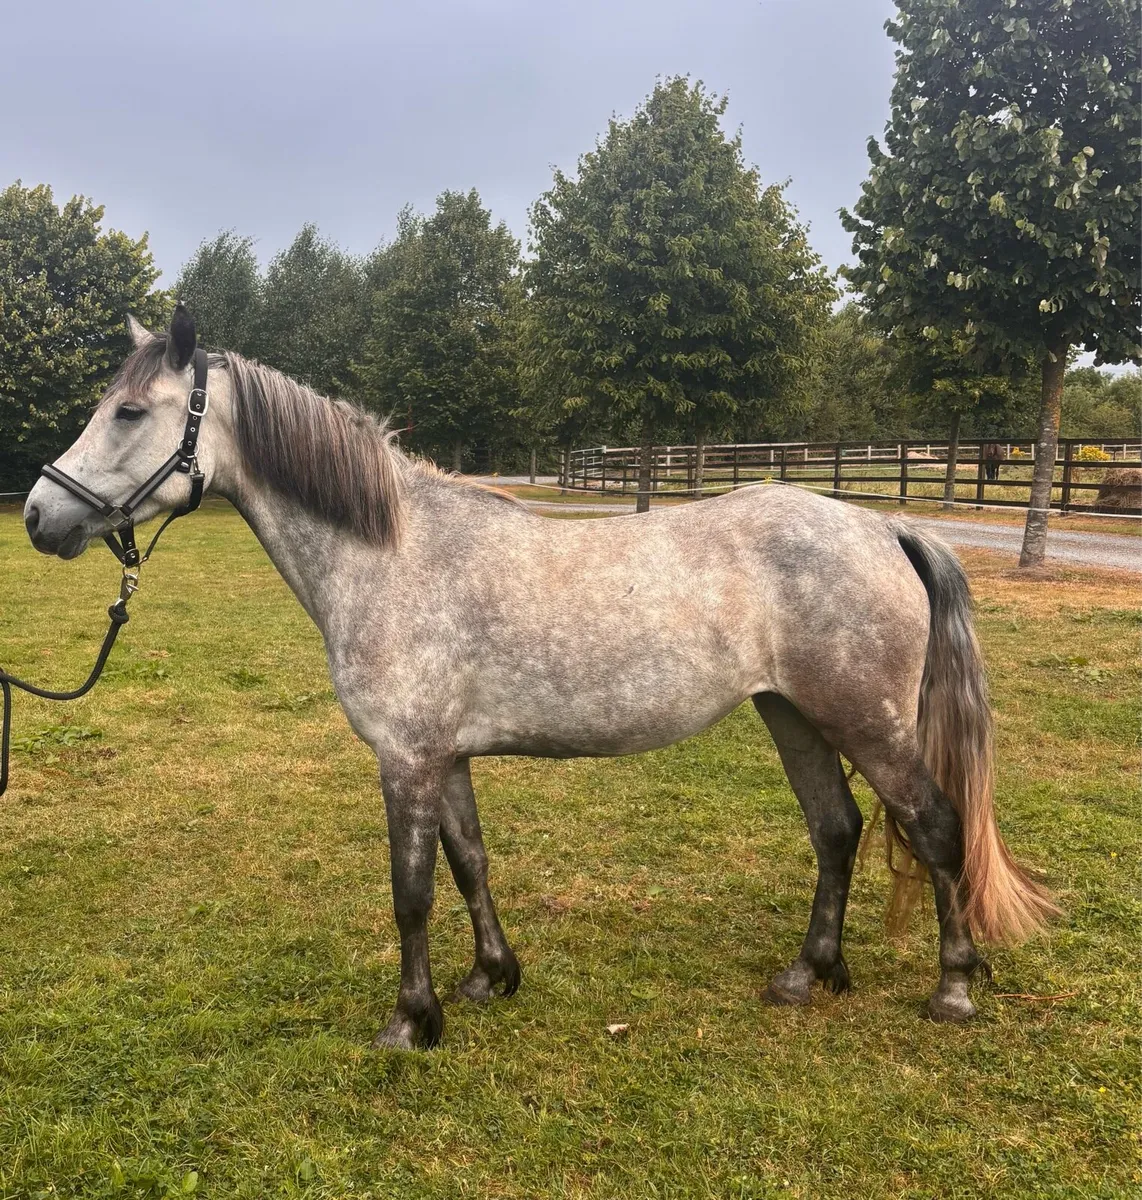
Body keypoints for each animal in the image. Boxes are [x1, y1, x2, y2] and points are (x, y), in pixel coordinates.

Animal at [22, 308, 1057, 1049]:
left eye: (129, 412)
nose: (38, 515)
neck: (392, 554)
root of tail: (885, 525)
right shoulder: (445, 758)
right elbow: (470, 862)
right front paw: (491, 978)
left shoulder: (406, 760)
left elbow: (410, 890)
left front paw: (411, 1023)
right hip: (791, 713)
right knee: (836, 830)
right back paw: (808, 974)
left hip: (868, 724)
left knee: (935, 827)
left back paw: (953, 987)